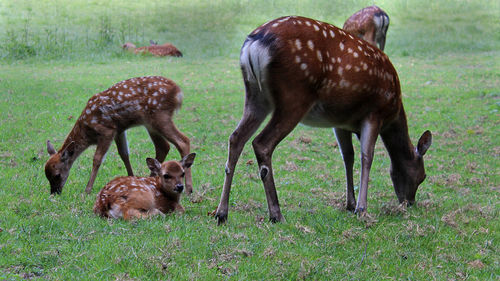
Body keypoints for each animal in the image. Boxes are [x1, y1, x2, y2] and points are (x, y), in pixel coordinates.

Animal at [45, 76, 193, 195]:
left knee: (183, 141)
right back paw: (152, 180)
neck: (87, 131)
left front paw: (87, 190)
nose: (54, 192)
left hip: (160, 115)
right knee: (163, 146)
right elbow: (124, 154)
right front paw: (131, 179)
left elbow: (97, 159)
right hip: (150, 123)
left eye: (57, 175)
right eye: (46, 175)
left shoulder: (107, 130)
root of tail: (178, 91)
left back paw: (189, 189)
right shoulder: (119, 130)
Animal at [213, 17, 432, 223]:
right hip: (294, 96)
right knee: (261, 143)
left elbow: (348, 156)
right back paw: (276, 214)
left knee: (236, 138)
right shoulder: (375, 113)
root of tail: (254, 44)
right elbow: (367, 157)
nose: (409, 202)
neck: (393, 112)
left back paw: (221, 213)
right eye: (422, 176)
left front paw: (350, 204)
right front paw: (361, 209)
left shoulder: (341, 122)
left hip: (255, 96)